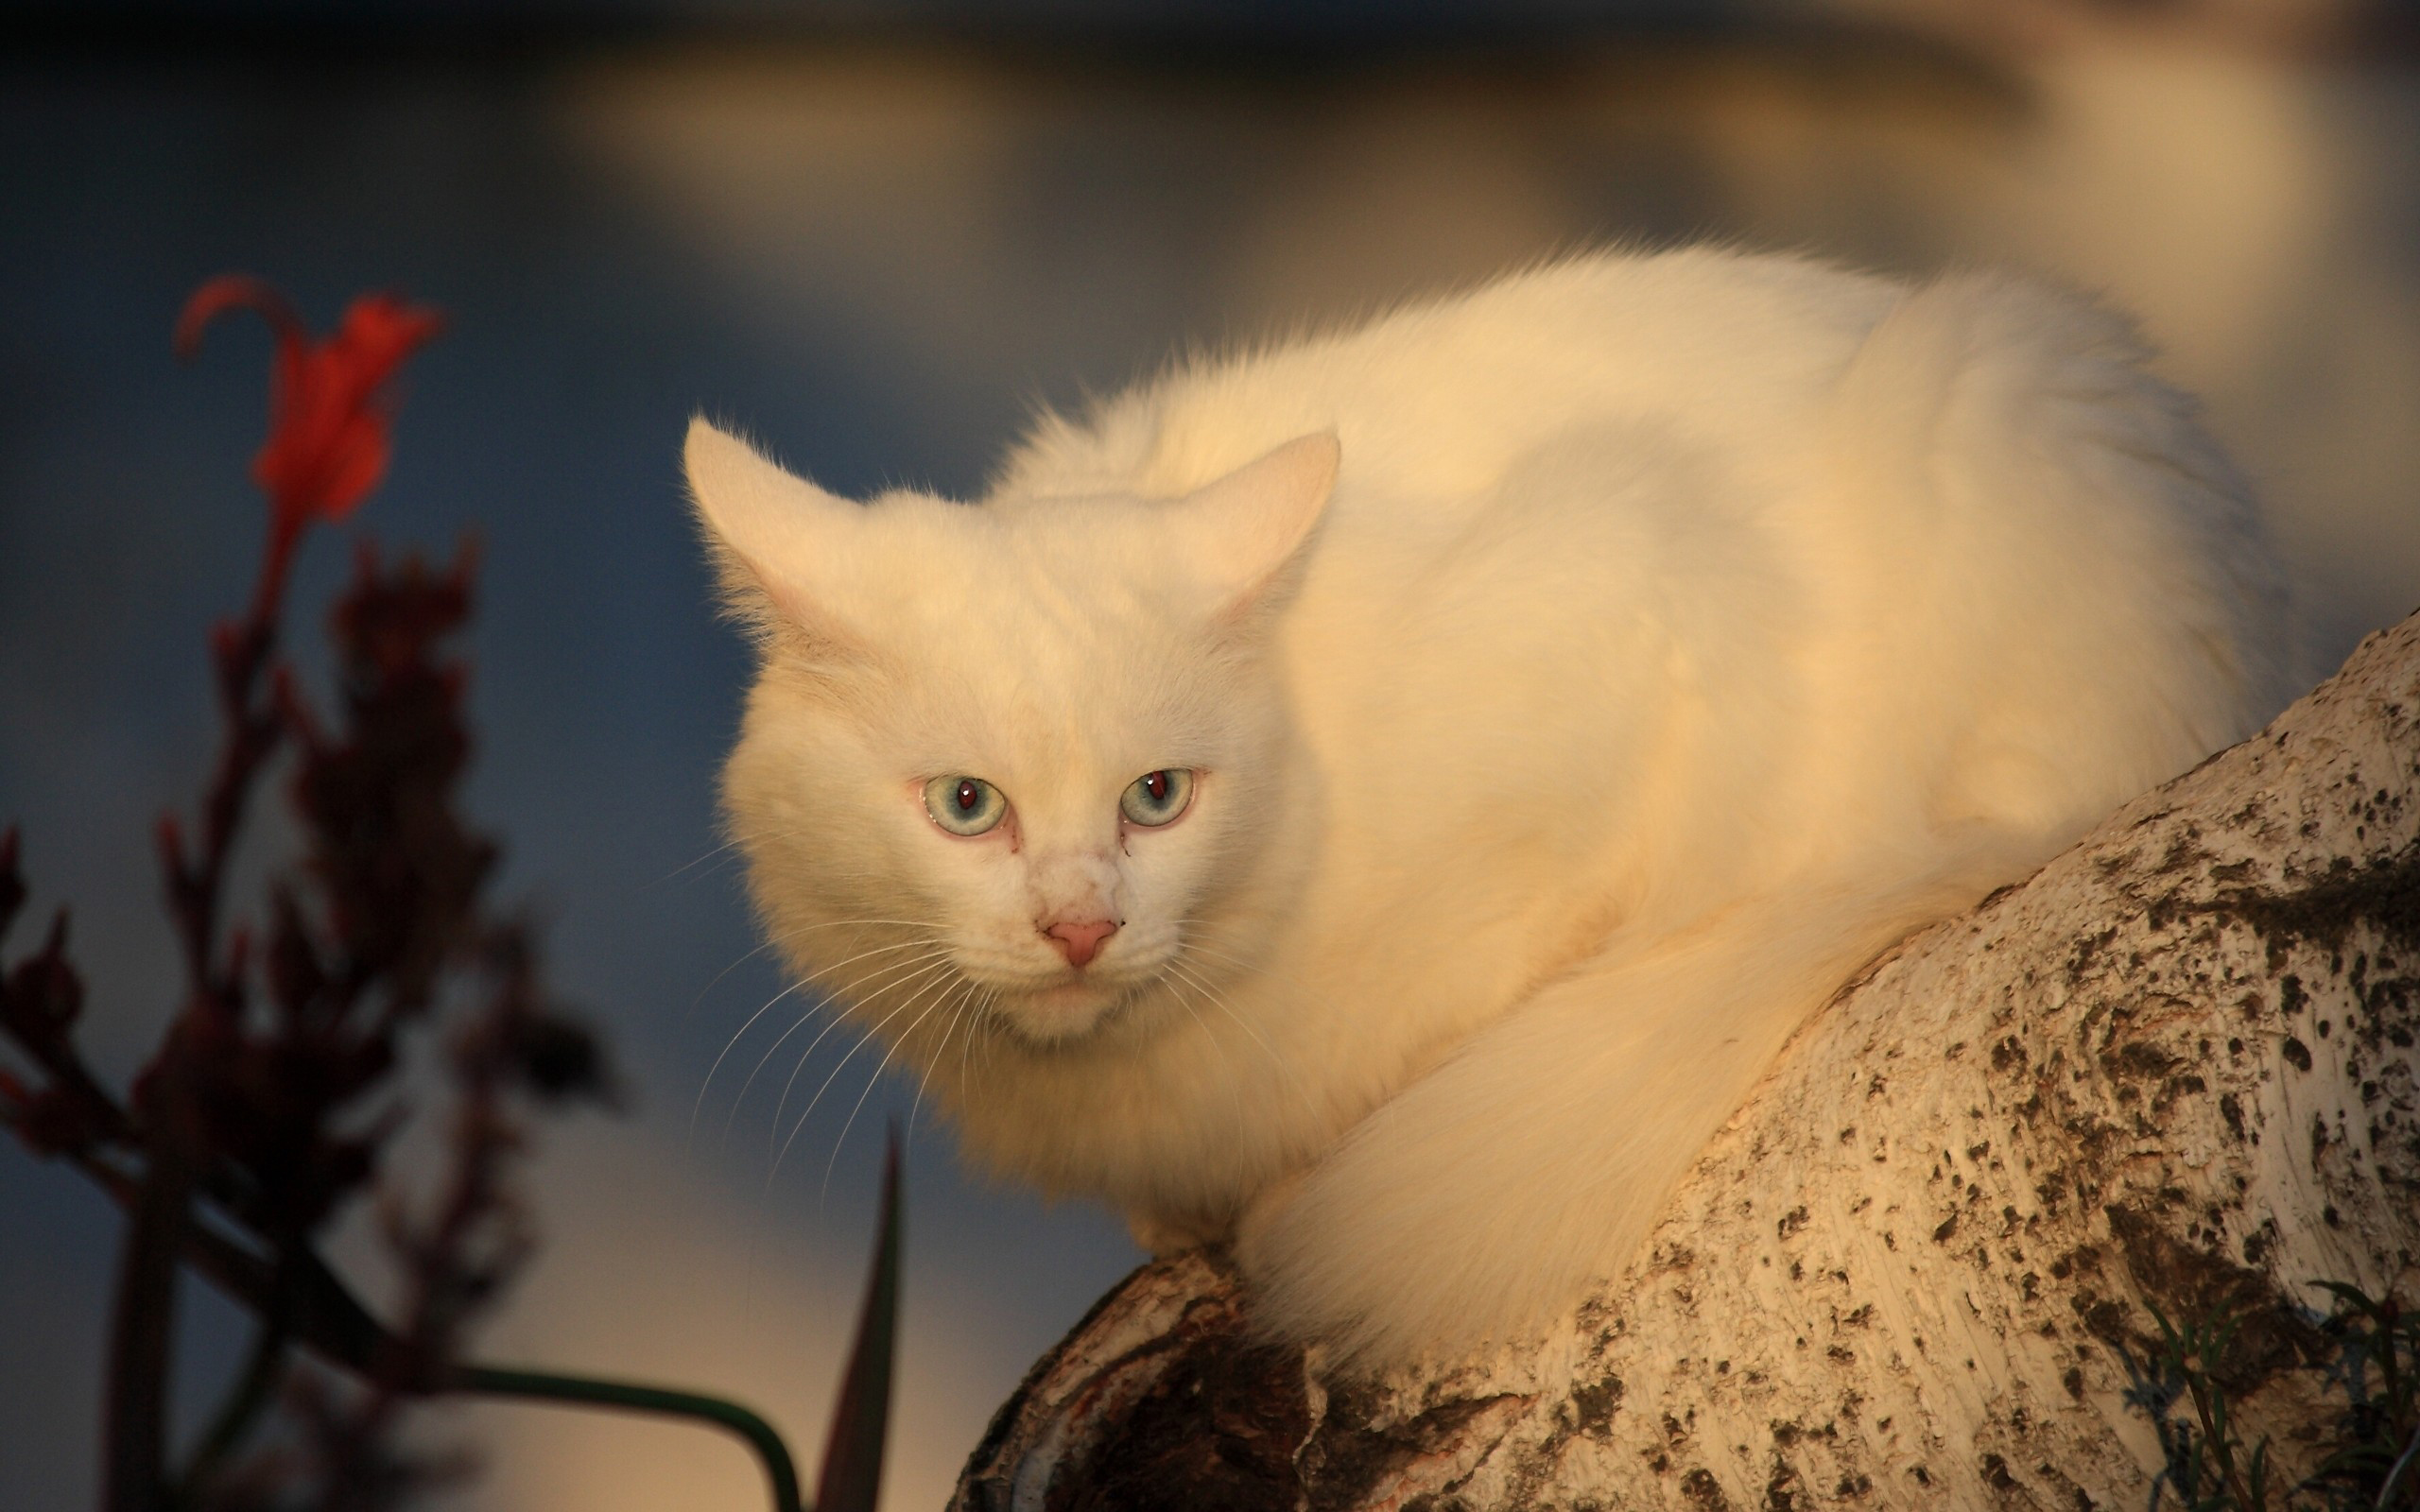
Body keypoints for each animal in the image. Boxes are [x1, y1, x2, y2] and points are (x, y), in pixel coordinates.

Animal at [682, 249, 2284, 1364]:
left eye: (1157, 798)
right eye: (967, 808)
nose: (1081, 927)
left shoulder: (1636, 612)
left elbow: (1492, 987)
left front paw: (1298, 1180)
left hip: (1990, 387)